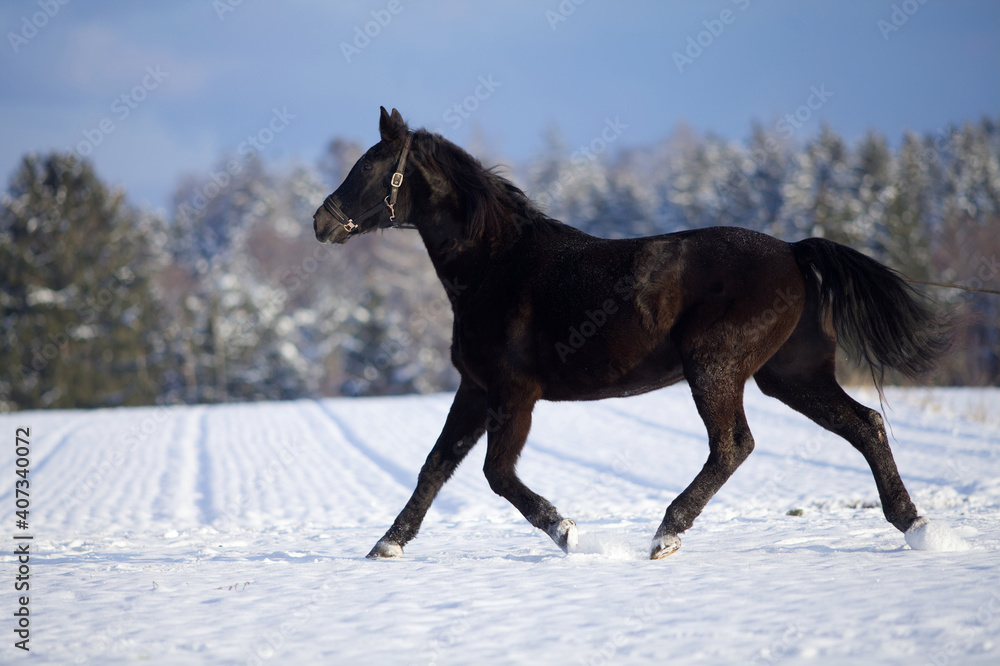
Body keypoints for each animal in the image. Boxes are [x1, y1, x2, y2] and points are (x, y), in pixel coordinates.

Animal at [313, 107, 954, 560]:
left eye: (369, 167)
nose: (321, 222)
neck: (497, 266)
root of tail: (795, 253)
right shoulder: (475, 388)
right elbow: (435, 466)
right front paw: (387, 544)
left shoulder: (513, 393)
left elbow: (496, 474)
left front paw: (567, 531)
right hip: (790, 375)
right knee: (864, 425)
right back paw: (916, 525)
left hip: (715, 368)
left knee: (734, 444)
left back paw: (666, 534)